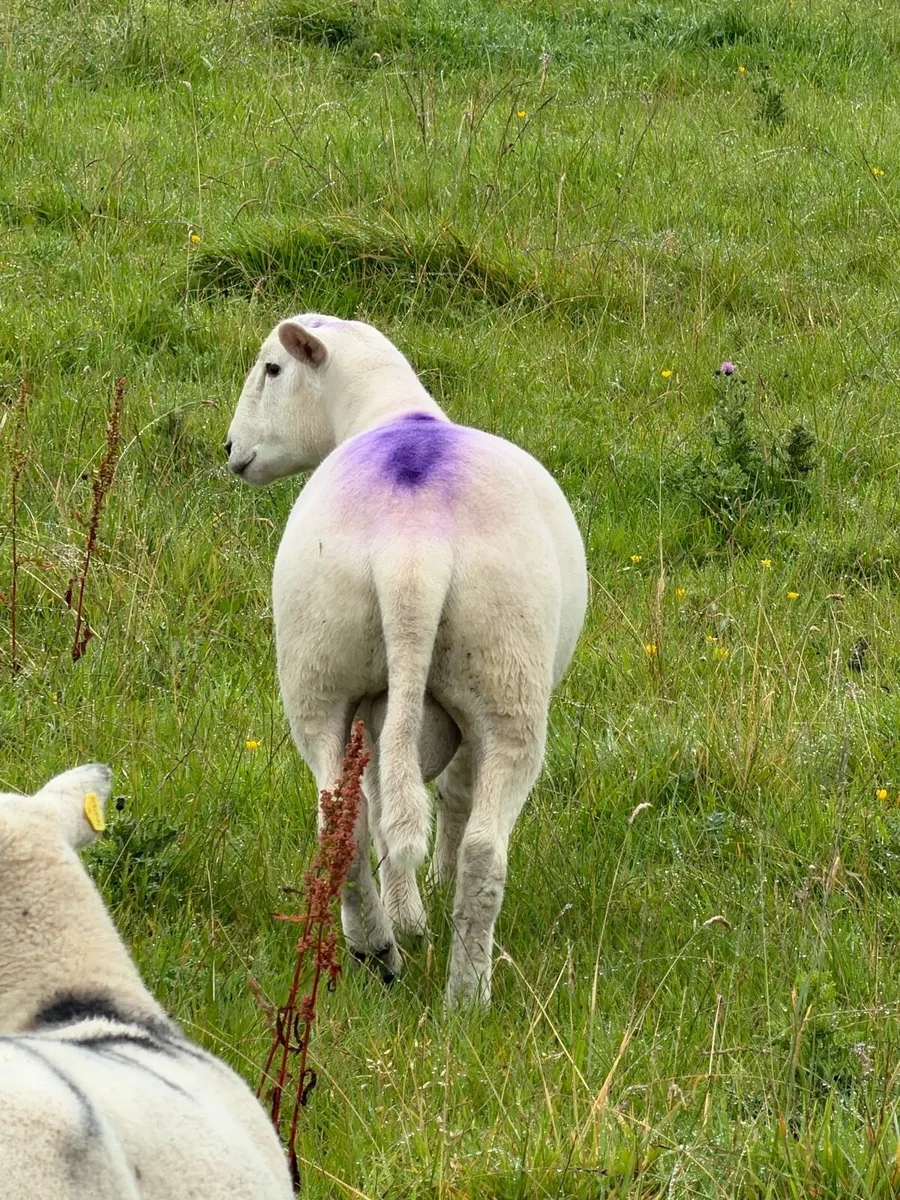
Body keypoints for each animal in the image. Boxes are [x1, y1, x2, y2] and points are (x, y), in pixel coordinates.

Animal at [226, 314, 588, 1005]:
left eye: (273, 369)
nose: (231, 450)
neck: (396, 414)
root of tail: (411, 549)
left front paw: (407, 915)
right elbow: (452, 794)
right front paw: (427, 898)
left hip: (319, 665)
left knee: (341, 826)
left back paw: (375, 950)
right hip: (507, 679)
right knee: (483, 847)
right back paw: (467, 994)